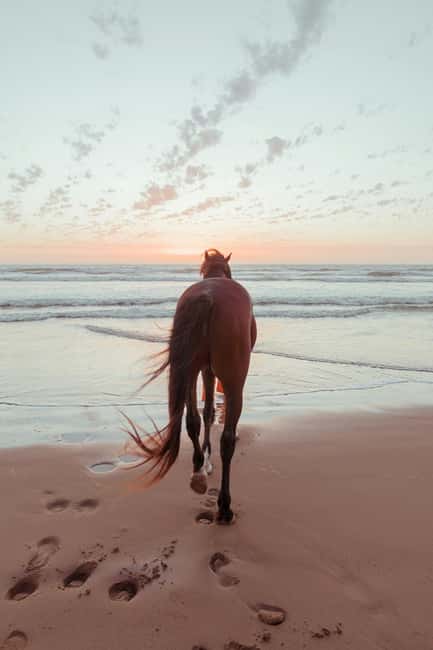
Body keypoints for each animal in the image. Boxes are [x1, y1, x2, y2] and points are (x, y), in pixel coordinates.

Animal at [125, 249, 257, 524]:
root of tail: (208, 297)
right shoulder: (213, 371)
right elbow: (211, 413)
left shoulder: (204, 369)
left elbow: (205, 413)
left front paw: (204, 457)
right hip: (233, 379)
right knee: (227, 439)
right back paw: (224, 506)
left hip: (188, 370)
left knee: (191, 421)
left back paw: (198, 468)